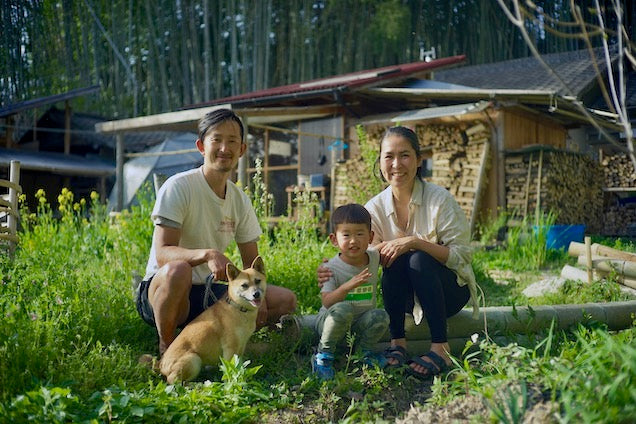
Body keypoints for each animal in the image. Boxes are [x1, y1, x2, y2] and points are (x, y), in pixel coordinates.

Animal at [159, 255, 268, 384]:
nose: (256, 294)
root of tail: (162, 365)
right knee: (174, 382)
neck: (239, 309)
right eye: (244, 285)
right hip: (194, 360)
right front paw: (232, 383)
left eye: (258, 281)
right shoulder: (230, 348)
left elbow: (239, 366)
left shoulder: (241, 346)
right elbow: (231, 370)